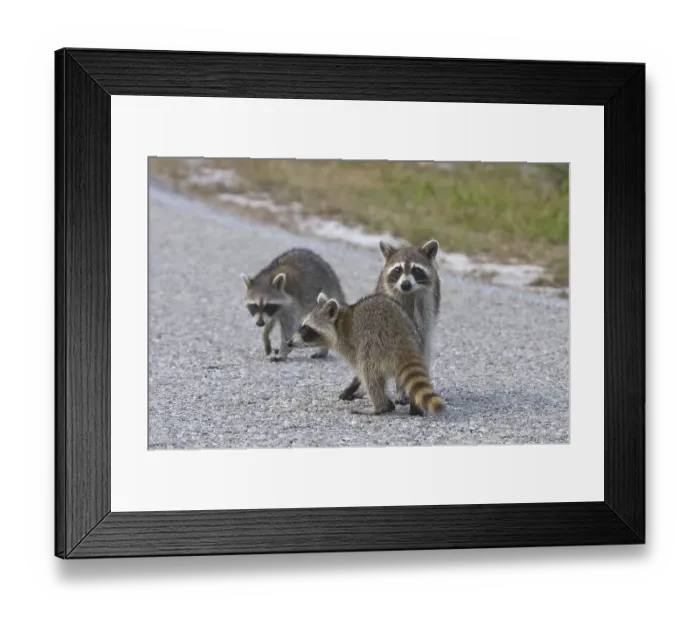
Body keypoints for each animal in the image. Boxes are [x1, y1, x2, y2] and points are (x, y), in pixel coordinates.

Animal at [288, 292, 445, 415]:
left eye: (305, 329)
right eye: (301, 326)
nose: (289, 343)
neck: (338, 323)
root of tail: (403, 339)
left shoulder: (350, 344)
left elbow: (361, 371)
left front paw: (357, 388)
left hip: (375, 345)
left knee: (368, 371)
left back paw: (380, 406)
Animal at [339, 239, 441, 414]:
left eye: (416, 270)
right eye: (398, 270)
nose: (405, 284)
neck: (408, 294)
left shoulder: (427, 306)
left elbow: (421, 348)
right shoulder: (387, 300)